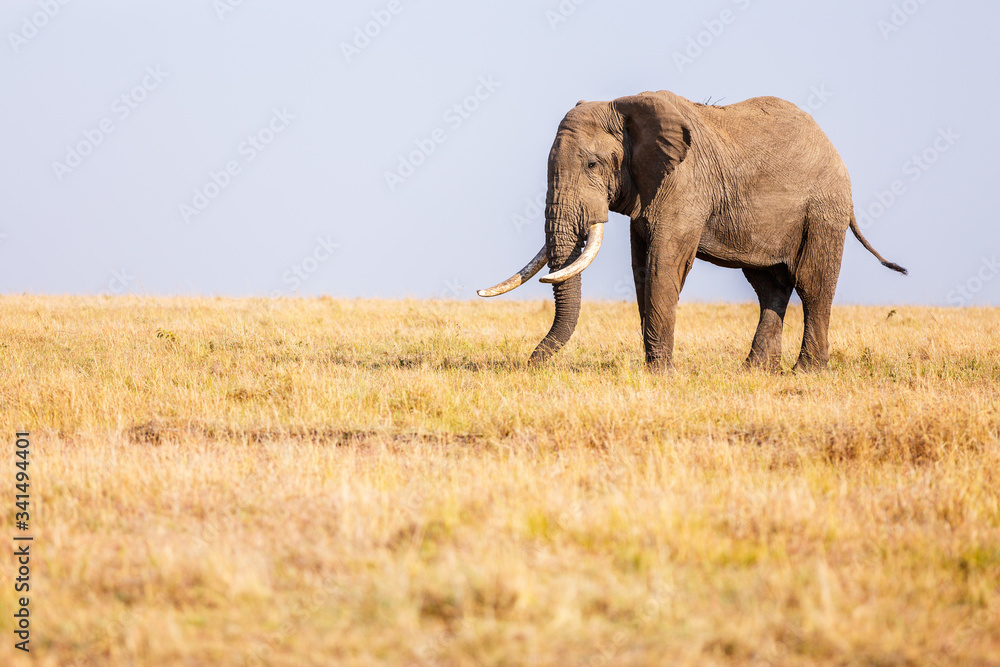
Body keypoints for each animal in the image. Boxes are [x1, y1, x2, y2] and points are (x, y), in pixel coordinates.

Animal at [479, 90, 907, 372]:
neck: (624, 104)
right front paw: (656, 369)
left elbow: (662, 264)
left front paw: (660, 375)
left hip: (823, 209)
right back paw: (754, 371)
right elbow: (641, 268)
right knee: (770, 286)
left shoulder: (684, 183)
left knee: (813, 283)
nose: (531, 364)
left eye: (592, 165)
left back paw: (805, 372)